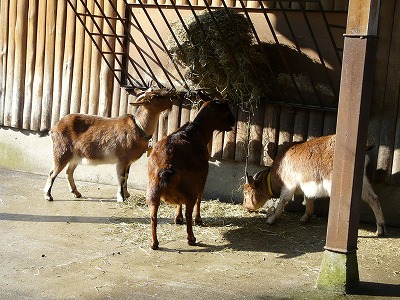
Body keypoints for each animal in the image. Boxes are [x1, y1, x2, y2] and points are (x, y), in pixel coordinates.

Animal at [44, 88, 177, 203]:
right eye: (155, 96)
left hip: (75, 156)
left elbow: (126, 177)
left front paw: (127, 194)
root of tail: (54, 128)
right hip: (61, 151)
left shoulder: (128, 162)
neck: (139, 128)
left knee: (68, 172)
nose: (171, 91)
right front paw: (121, 198)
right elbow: (121, 178)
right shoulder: (122, 159)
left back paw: (76, 193)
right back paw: (48, 195)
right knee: (52, 172)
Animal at [146, 92, 234, 250]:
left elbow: (178, 202)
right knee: (189, 210)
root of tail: (168, 166)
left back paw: (154, 243)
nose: (234, 121)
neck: (197, 131)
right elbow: (200, 197)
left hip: (152, 190)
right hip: (189, 189)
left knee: (153, 216)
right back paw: (191, 238)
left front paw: (177, 217)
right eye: (225, 110)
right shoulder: (202, 177)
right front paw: (198, 219)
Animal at [242, 135, 386, 236]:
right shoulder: (306, 187)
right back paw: (380, 229)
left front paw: (271, 219)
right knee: (373, 198)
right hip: (363, 181)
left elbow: (283, 201)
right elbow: (309, 201)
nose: (245, 207)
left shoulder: (289, 185)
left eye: (246, 192)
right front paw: (305, 217)